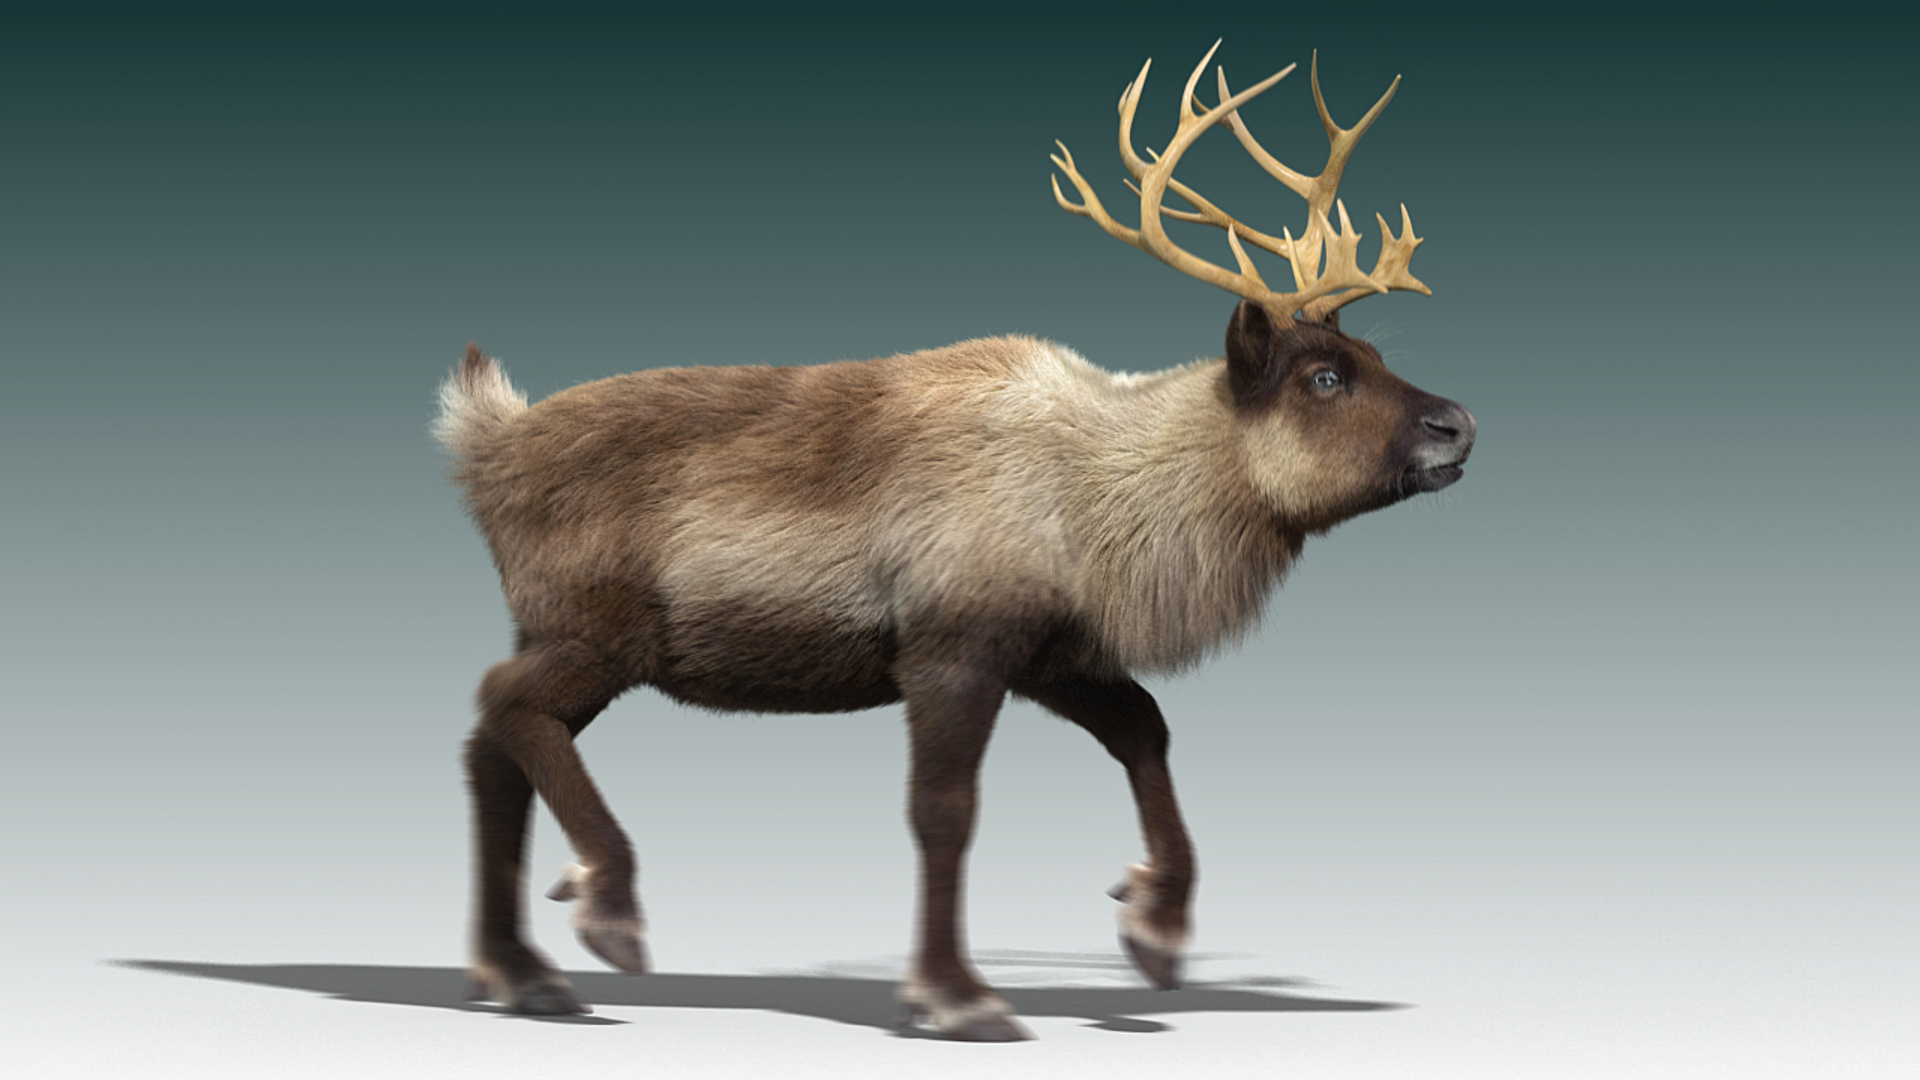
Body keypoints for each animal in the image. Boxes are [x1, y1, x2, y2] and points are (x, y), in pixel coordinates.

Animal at [434, 40, 1474, 1041]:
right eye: (1324, 377)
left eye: (1373, 353)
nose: (1459, 423)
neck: (1103, 499)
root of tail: (486, 444)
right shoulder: (951, 648)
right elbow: (944, 812)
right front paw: (956, 997)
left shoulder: (1052, 654)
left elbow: (1146, 728)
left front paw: (1155, 928)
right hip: (599, 629)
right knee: (501, 705)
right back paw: (603, 909)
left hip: (570, 635)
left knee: (494, 741)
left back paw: (519, 975)